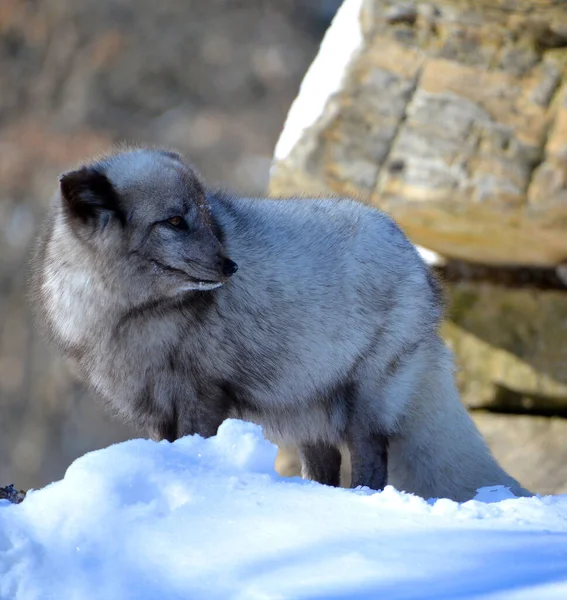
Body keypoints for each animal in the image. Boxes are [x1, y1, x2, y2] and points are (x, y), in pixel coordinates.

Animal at [30, 149, 528, 502]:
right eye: (174, 221)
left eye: (208, 218)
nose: (231, 266)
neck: (133, 312)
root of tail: (418, 260)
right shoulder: (153, 408)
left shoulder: (201, 396)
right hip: (305, 409)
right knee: (324, 467)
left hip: (364, 402)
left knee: (370, 462)